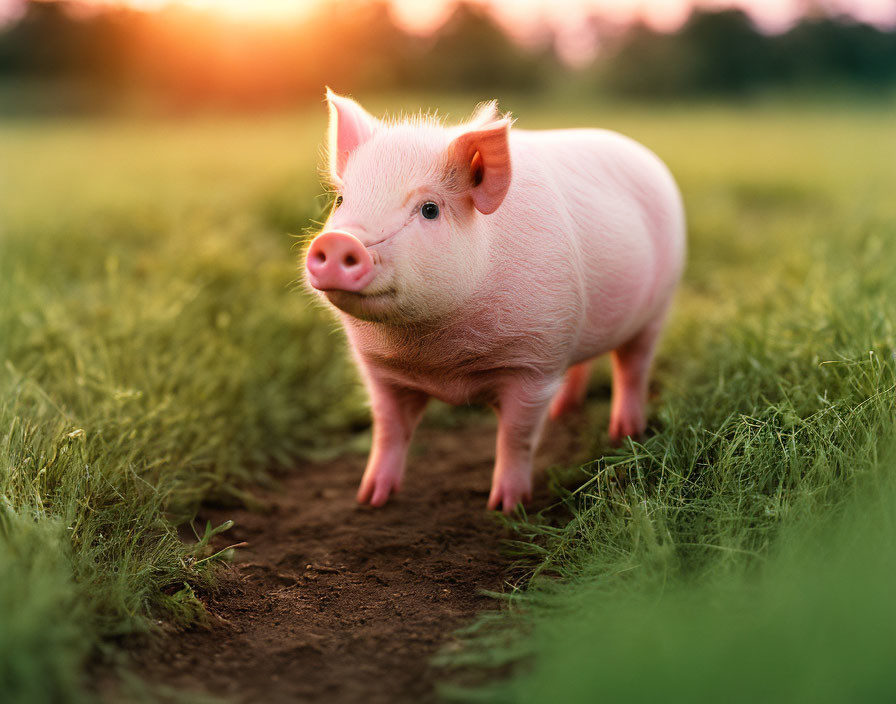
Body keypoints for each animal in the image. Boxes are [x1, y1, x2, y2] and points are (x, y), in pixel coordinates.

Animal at [304, 91, 684, 516]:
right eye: (341, 201)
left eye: (430, 209)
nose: (338, 241)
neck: (439, 361)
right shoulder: (378, 369)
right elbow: (388, 430)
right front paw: (370, 500)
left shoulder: (535, 362)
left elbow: (516, 437)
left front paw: (506, 508)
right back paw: (563, 411)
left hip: (659, 305)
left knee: (633, 367)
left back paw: (624, 433)